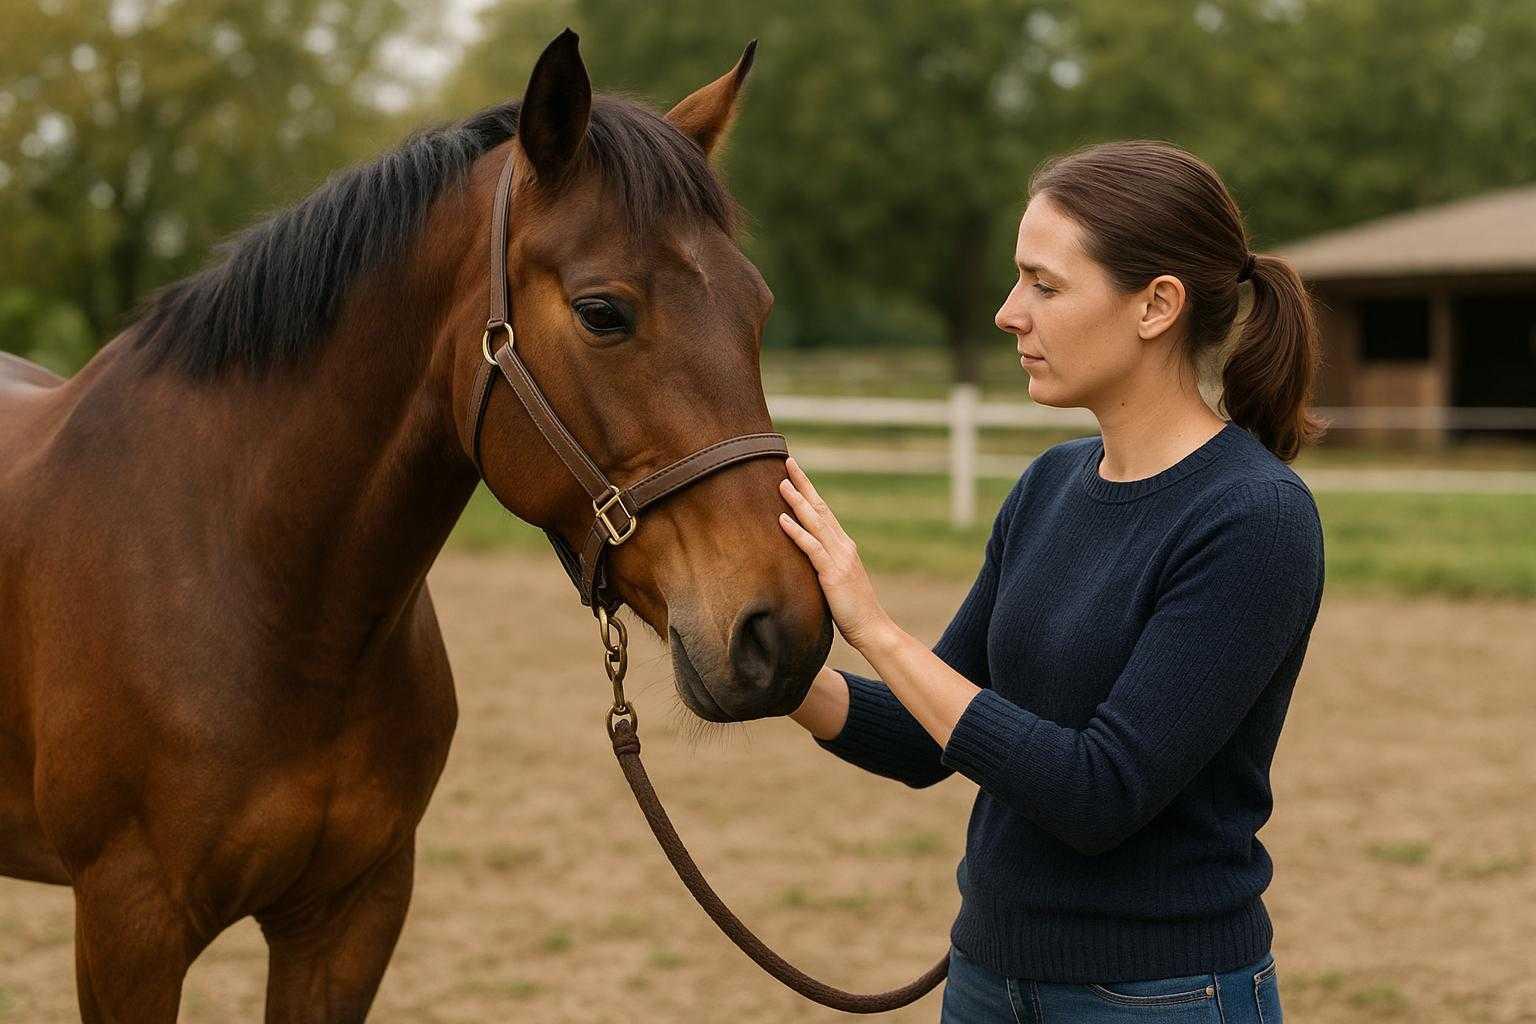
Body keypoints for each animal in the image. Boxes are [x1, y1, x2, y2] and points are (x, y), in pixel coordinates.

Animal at [0, 30, 832, 1021]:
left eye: (760, 308)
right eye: (603, 312)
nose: (783, 632)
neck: (254, 590)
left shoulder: (350, 917)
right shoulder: (130, 927)